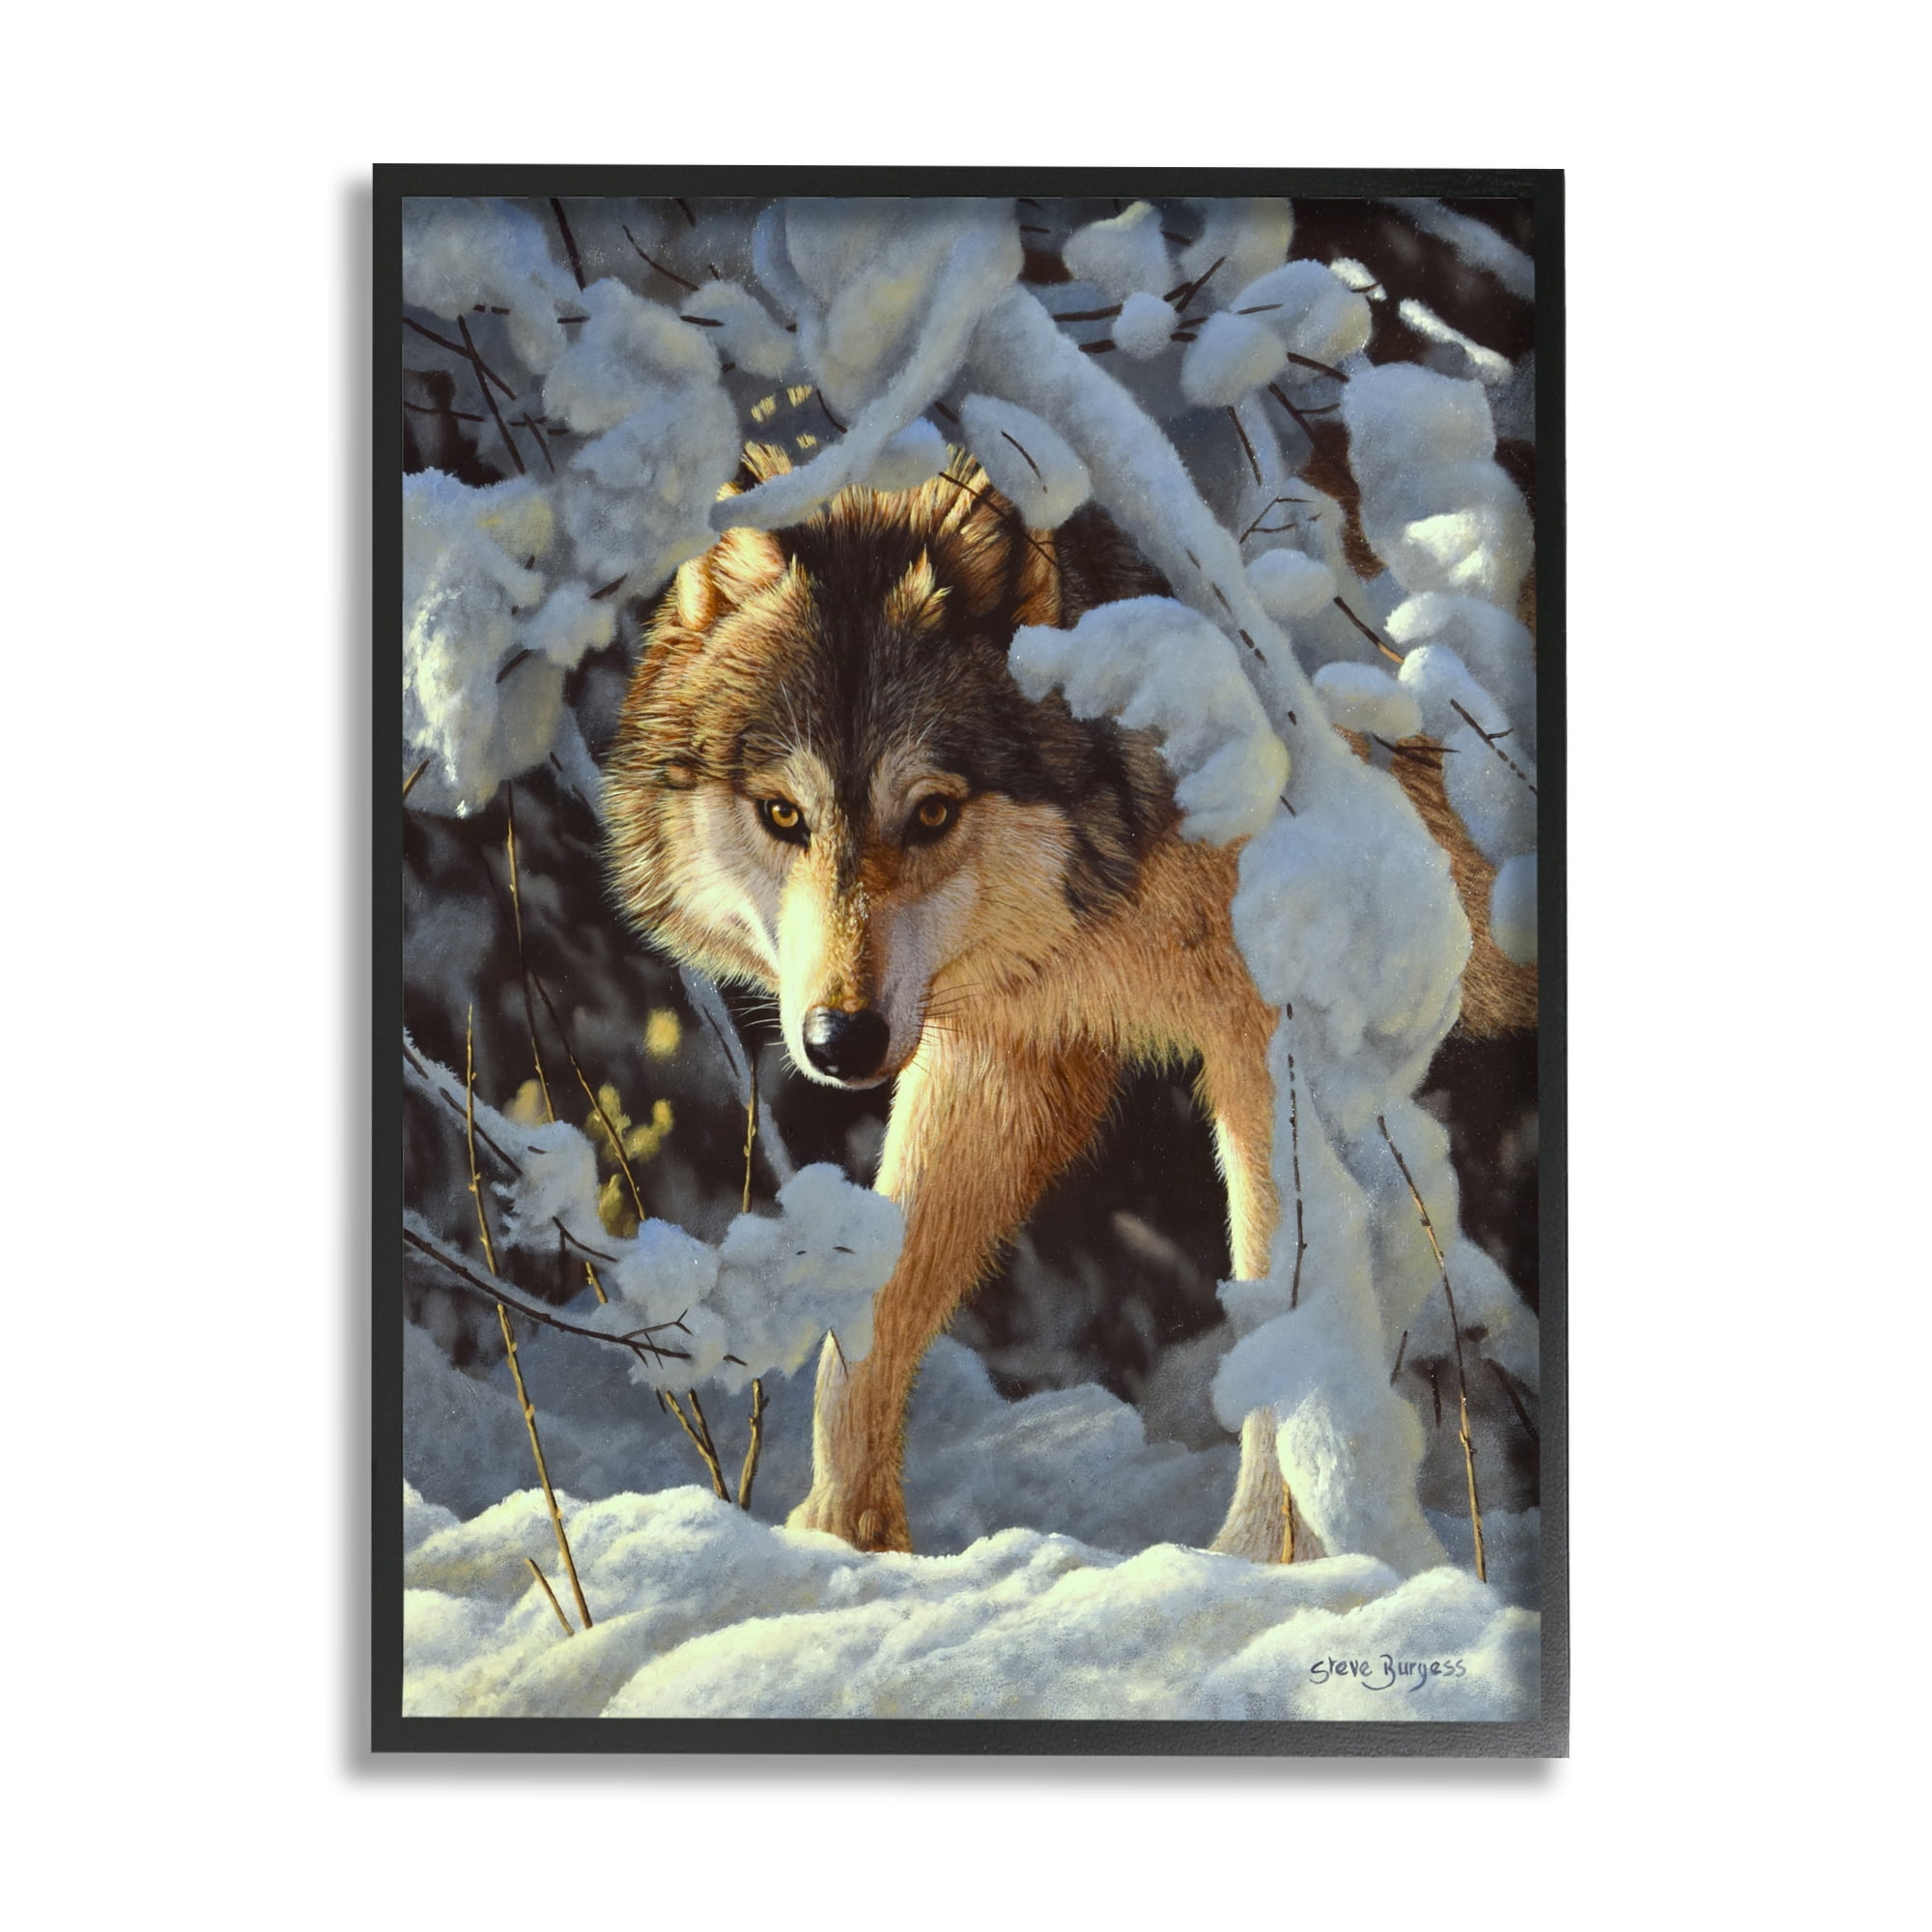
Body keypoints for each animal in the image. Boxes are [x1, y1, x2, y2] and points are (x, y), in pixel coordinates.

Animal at [606, 445, 1526, 1556]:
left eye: (931, 812)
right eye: (783, 814)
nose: (840, 1040)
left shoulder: (1273, 1046)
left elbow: (1287, 1313)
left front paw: (1257, 1563)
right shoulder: (1005, 1052)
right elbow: (868, 1317)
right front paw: (843, 1541)